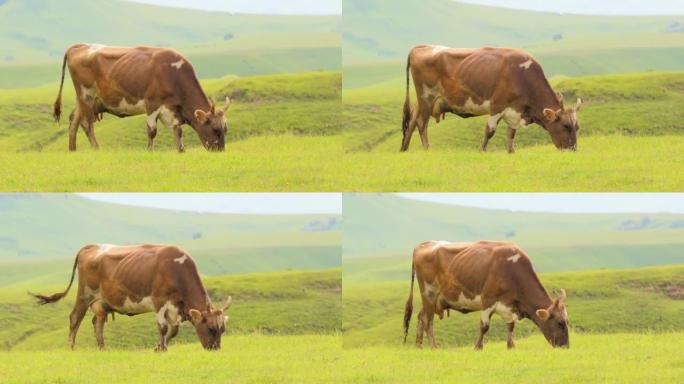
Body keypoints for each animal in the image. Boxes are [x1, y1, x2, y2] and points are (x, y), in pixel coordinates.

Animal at [30, 246, 232, 352]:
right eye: (211, 328)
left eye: (222, 329)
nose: (215, 349)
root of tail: (91, 246)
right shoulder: (159, 301)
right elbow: (163, 327)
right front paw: (163, 349)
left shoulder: (175, 307)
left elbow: (173, 331)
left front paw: (158, 347)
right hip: (84, 294)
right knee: (75, 318)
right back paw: (71, 347)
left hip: (102, 302)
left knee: (98, 323)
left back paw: (102, 348)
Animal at [53, 44, 230, 152]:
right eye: (215, 129)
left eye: (225, 129)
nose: (220, 151)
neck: (173, 75)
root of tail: (80, 45)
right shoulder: (152, 104)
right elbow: (152, 131)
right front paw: (150, 151)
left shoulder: (172, 109)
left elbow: (178, 131)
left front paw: (181, 150)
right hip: (86, 95)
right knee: (87, 123)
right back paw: (96, 148)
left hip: (84, 99)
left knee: (74, 120)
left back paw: (72, 149)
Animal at [400, 45, 584, 153]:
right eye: (565, 126)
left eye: (577, 126)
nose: (573, 149)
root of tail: (422, 46)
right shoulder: (497, 105)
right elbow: (490, 131)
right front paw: (481, 150)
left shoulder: (514, 110)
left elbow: (511, 134)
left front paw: (511, 152)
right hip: (426, 96)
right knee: (421, 123)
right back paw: (426, 149)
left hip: (424, 101)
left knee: (413, 120)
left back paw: (404, 148)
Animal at [404, 242, 568, 350]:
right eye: (560, 323)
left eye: (567, 321)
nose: (566, 346)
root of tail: (424, 244)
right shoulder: (488, 301)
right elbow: (484, 327)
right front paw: (478, 347)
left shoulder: (508, 305)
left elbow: (510, 326)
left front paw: (511, 345)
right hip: (429, 293)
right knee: (428, 320)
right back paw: (433, 346)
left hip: (434, 299)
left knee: (421, 316)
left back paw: (419, 345)